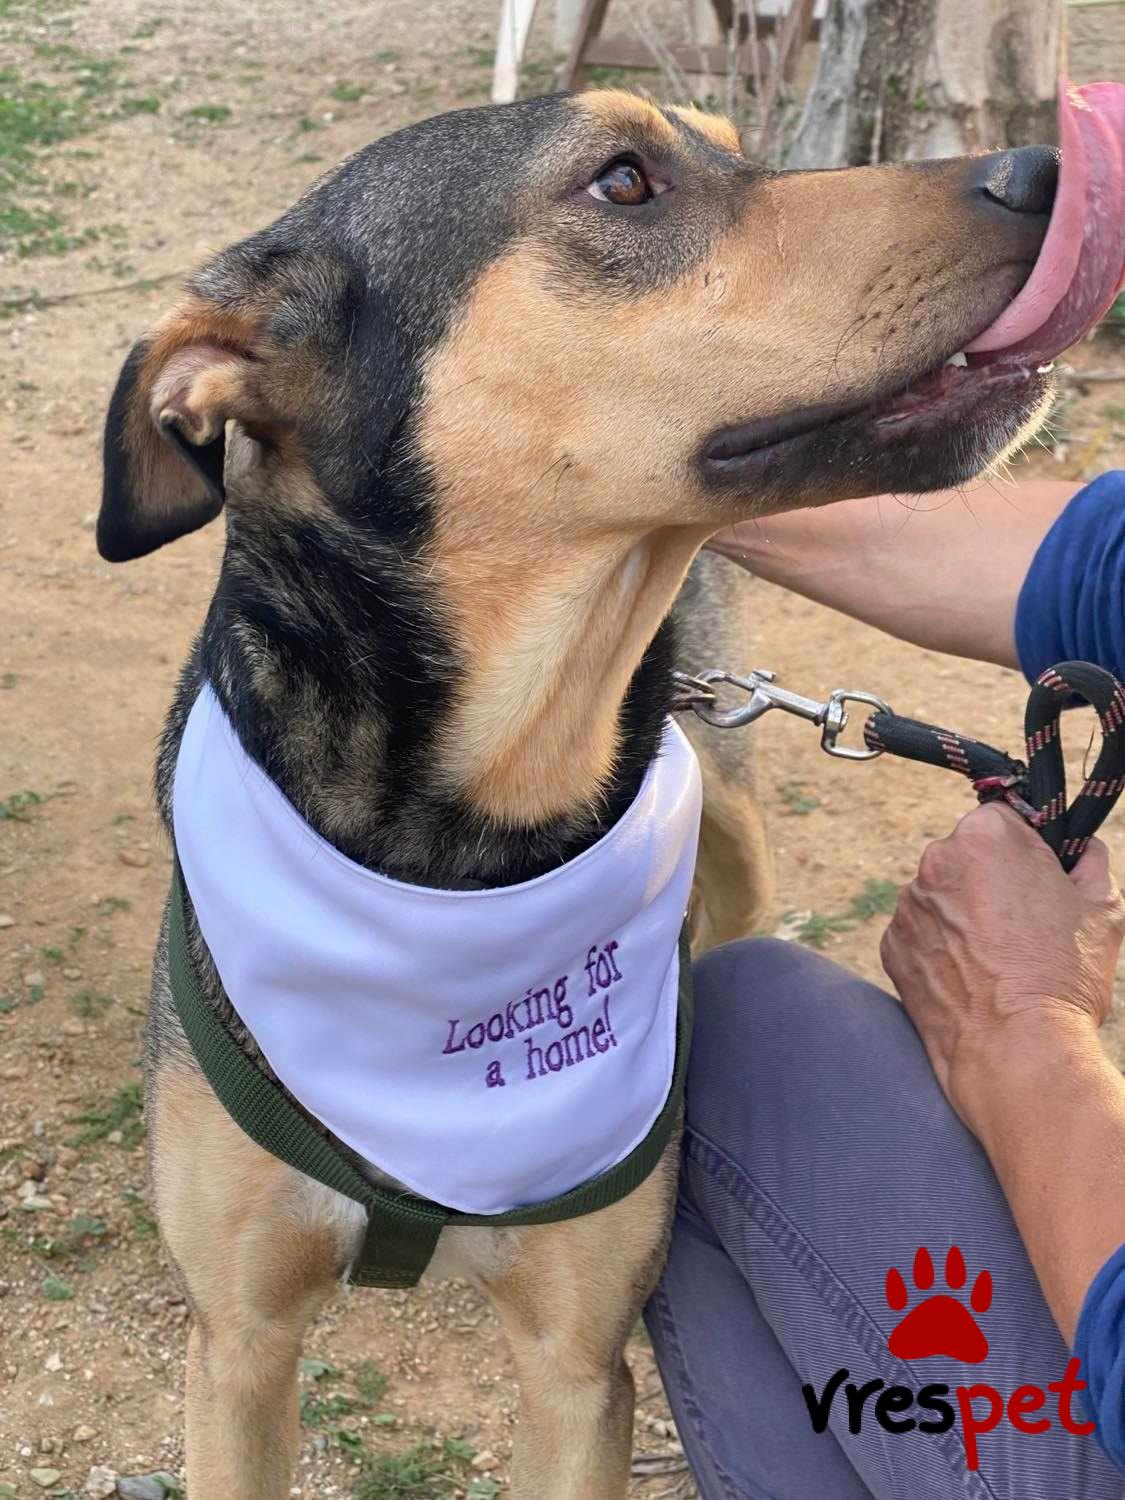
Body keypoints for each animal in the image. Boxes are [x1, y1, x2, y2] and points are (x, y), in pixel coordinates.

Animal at [97, 89, 1058, 1498]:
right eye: (622, 182)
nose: (1048, 170)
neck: (462, 847)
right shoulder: (237, 1347)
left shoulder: (577, 1365)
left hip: (737, 830)